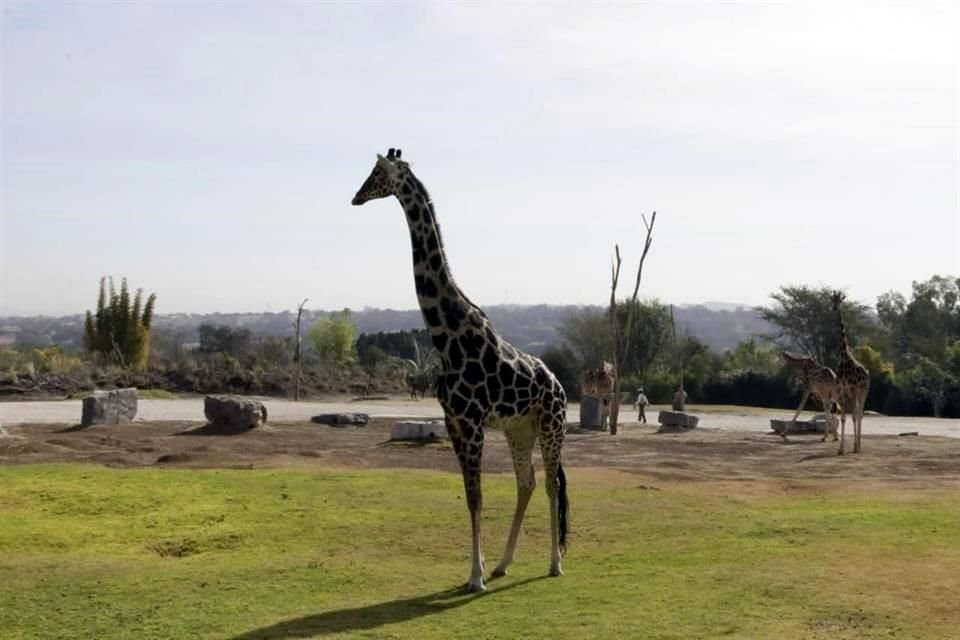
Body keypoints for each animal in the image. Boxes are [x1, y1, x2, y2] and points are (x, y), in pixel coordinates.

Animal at [350, 148, 568, 592]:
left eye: (377, 173)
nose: (356, 198)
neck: (446, 335)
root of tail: (560, 385)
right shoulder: (453, 422)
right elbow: (471, 497)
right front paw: (481, 570)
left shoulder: (473, 421)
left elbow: (478, 496)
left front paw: (475, 578)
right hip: (521, 428)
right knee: (527, 482)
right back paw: (504, 564)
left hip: (551, 424)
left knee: (552, 483)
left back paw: (554, 564)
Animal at [828, 290, 872, 456]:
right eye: (832, 300)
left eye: (840, 300)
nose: (834, 308)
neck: (844, 357)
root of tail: (868, 374)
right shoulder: (842, 390)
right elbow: (843, 418)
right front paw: (841, 449)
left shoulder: (851, 390)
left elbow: (852, 416)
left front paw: (852, 447)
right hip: (856, 393)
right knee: (857, 413)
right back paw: (856, 445)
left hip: (863, 391)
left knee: (860, 414)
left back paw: (859, 446)